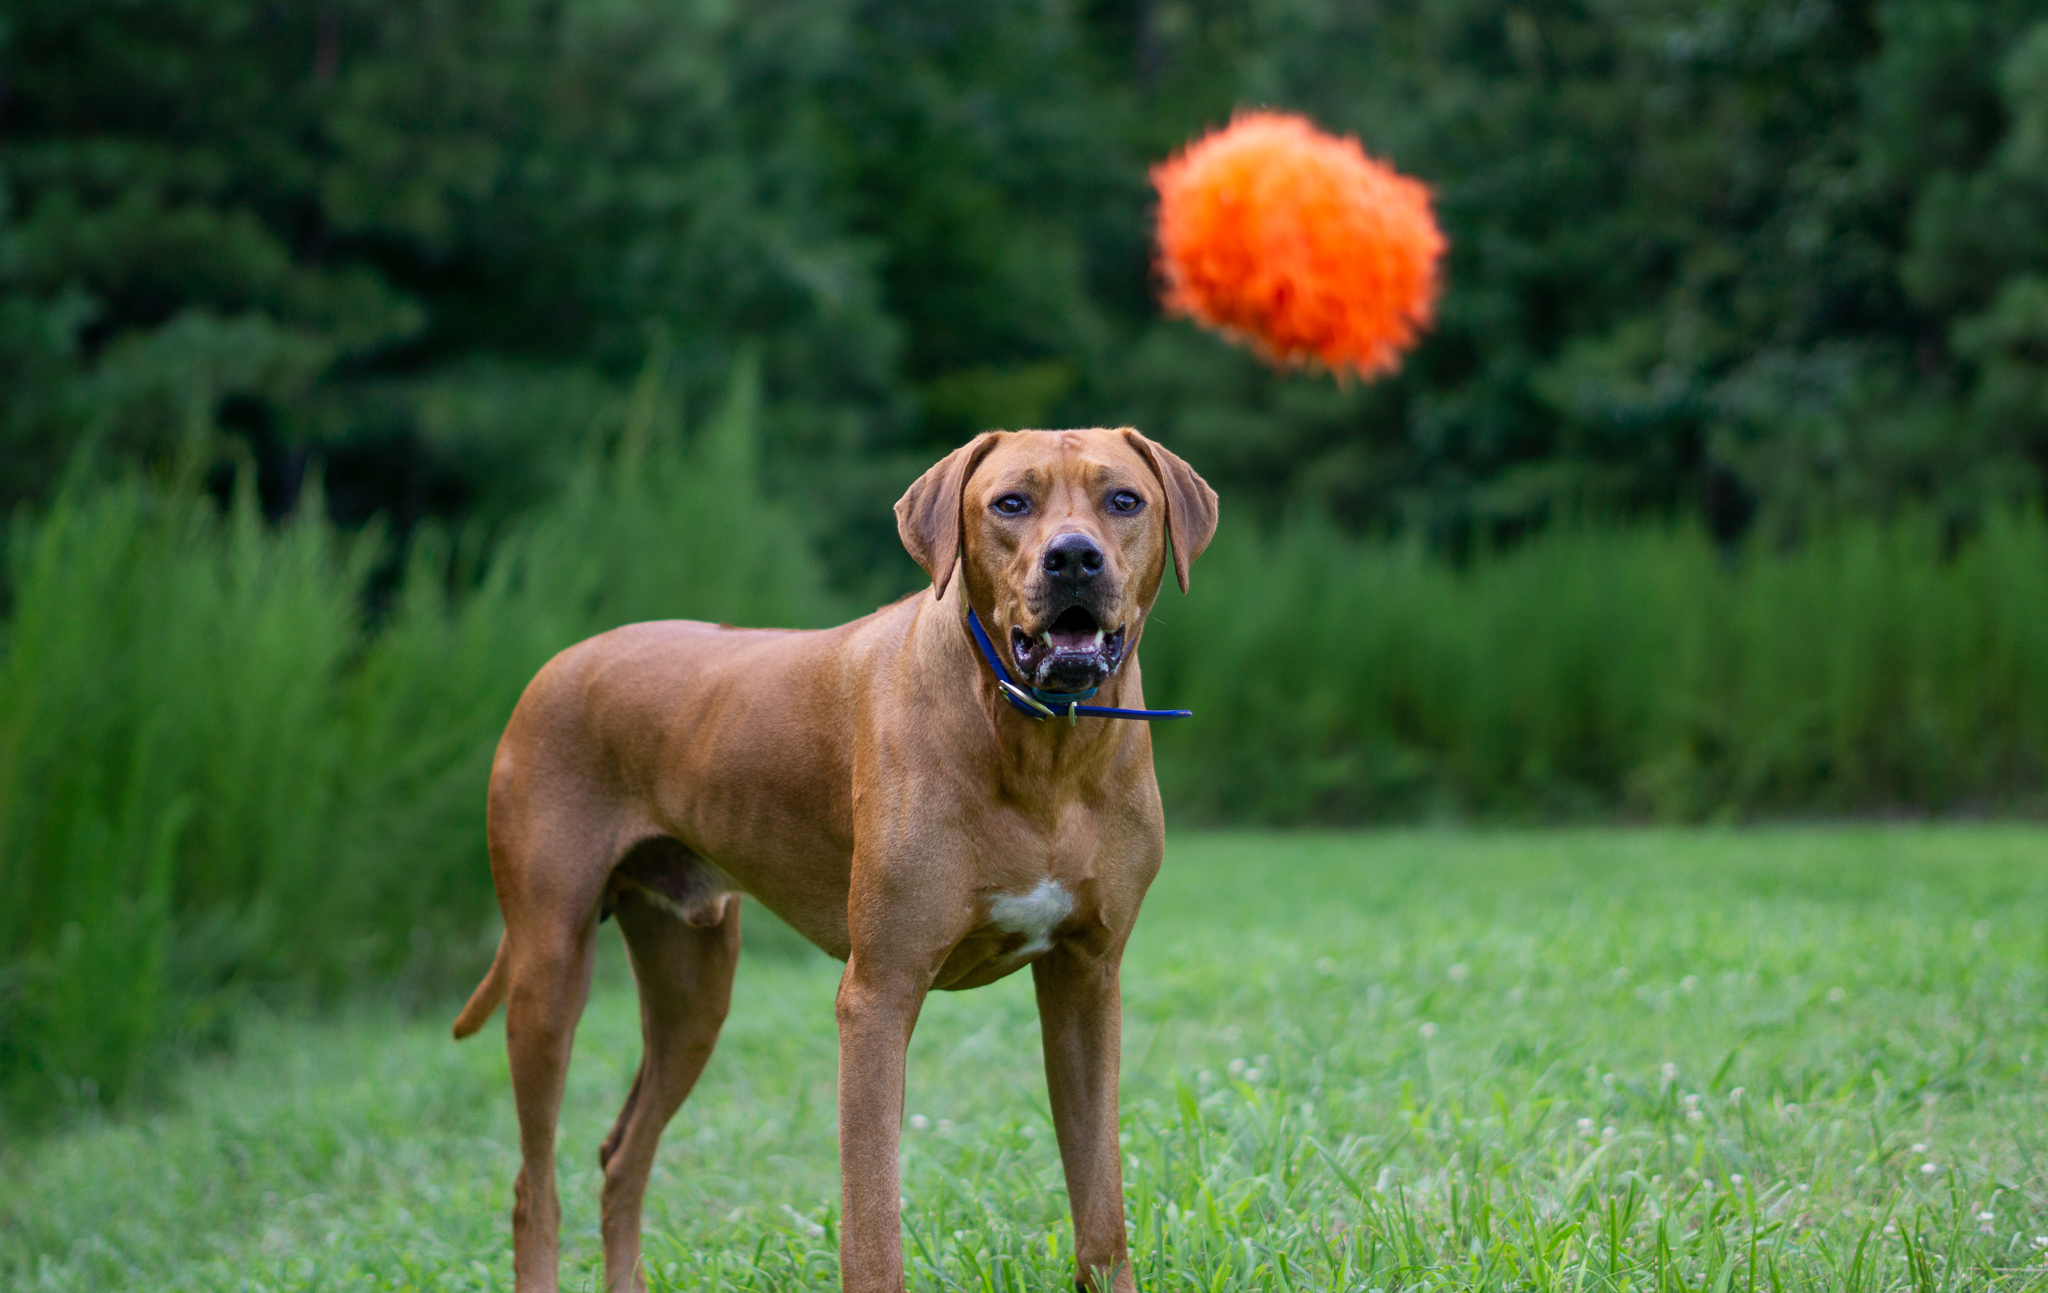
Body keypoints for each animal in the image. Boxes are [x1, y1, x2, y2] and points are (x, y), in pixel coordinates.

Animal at [450, 430, 1212, 1286]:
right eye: (1011, 503)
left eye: (1124, 500)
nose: (1074, 558)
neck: (1040, 743)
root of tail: (555, 664)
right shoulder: (879, 992)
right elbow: (872, 1220)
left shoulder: (1087, 979)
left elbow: (1100, 1198)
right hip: (549, 967)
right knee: (533, 1186)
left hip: (694, 988)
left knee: (622, 1155)